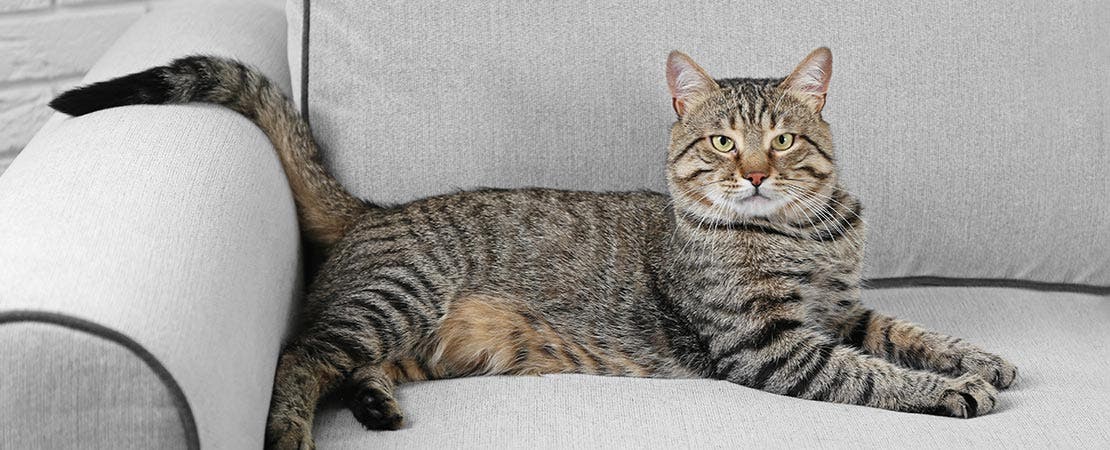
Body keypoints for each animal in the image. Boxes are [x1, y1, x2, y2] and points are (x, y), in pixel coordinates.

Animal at [56, 47, 1016, 446]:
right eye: (720, 143)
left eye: (780, 141)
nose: (751, 174)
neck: (804, 232)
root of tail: (375, 208)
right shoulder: (770, 344)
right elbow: (874, 373)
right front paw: (952, 390)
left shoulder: (840, 309)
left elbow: (905, 334)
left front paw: (980, 356)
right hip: (392, 298)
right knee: (300, 356)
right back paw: (292, 434)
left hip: (416, 339)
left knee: (345, 364)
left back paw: (374, 405)